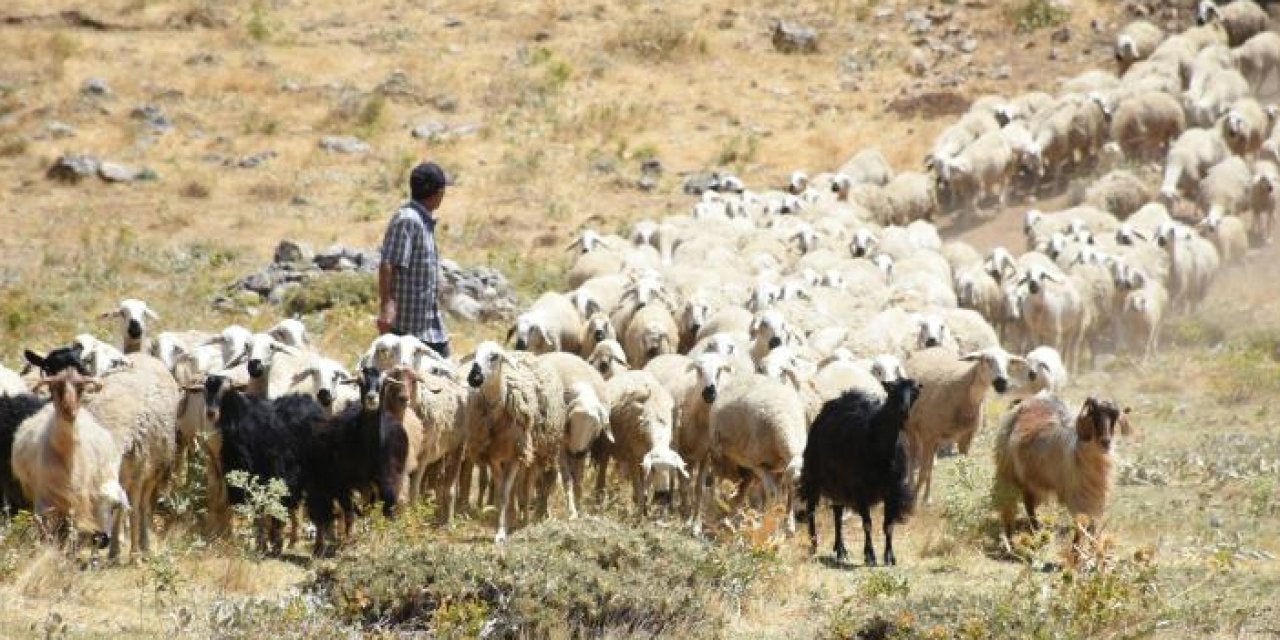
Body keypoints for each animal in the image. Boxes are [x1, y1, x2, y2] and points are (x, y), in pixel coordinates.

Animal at [10, 363, 128, 552]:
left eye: (81, 389)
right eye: (55, 387)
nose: (69, 411)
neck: (66, 454)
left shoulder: (77, 499)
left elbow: (72, 531)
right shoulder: (43, 497)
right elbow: (45, 531)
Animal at [798, 376, 921, 568]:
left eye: (915, 392)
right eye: (892, 391)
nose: (903, 412)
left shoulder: (893, 489)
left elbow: (889, 525)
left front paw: (889, 557)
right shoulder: (859, 487)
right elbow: (867, 524)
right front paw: (870, 556)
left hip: (838, 483)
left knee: (837, 513)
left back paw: (841, 550)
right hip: (814, 476)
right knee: (811, 510)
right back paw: (813, 546)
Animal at [988, 391, 1131, 552]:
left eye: (1114, 416)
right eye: (1093, 413)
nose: (1106, 442)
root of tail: (1027, 400)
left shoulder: (1095, 496)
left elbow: (1092, 526)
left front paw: (1092, 548)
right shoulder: (1079, 496)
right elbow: (1081, 525)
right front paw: (1075, 551)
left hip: (1030, 477)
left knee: (1028, 502)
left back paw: (1035, 529)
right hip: (1008, 471)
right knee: (1011, 505)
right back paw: (1011, 539)